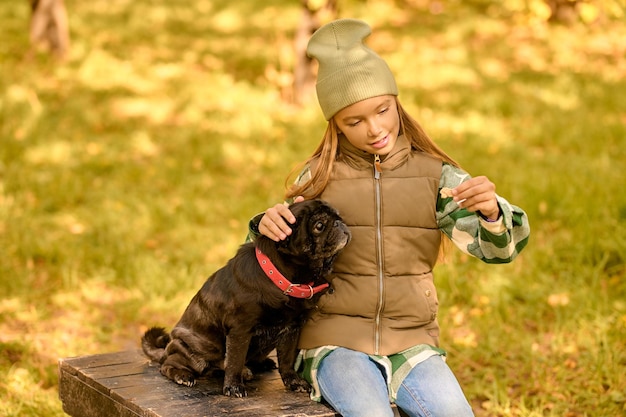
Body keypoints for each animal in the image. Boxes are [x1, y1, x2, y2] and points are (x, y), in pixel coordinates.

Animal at [138, 200, 348, 398]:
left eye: (338, 216)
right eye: (319, 225)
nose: (340, 223)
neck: (281, 278)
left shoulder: (291, 329)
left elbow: (287, 360)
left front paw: (293, 381)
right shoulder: (240, 329)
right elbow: (235, 360)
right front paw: (233, 386)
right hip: (196, 352)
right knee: (168, 365)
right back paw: (183, 375)